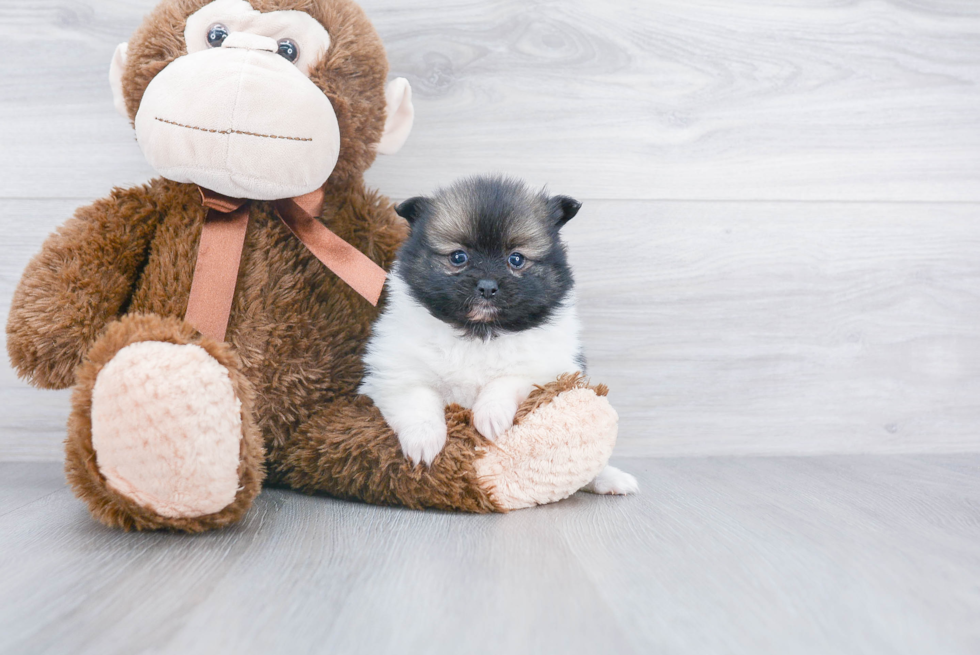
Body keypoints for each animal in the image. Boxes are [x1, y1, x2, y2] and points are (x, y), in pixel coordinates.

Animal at [358, 177, 636, 494]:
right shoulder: (397, 373)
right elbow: (418, 401)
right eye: (458, 257)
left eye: (515, 259)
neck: (481, 333)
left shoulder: (549, 369)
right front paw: (424, 443)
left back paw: (610, 478)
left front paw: (489, 416)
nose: (488, 286)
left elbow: (506, 380)